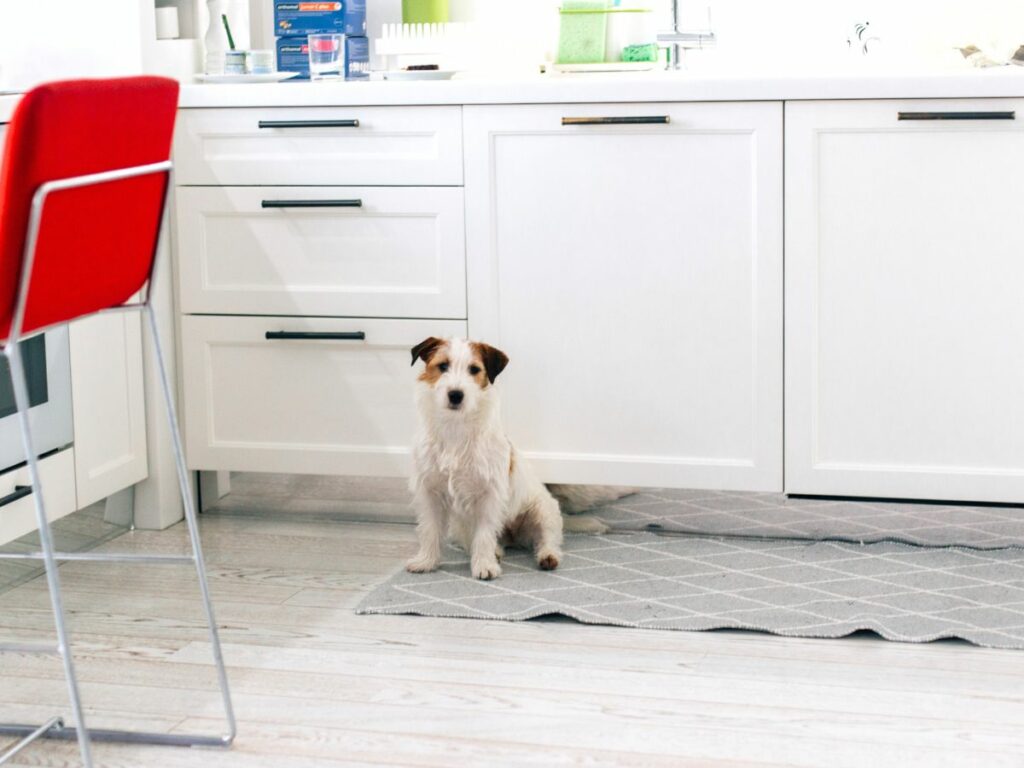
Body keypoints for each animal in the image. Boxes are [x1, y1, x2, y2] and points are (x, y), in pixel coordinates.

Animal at [405, 333, 565, 581]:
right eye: (443, 366)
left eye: (474, 369)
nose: (456, 395)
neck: (456, 429)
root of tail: (513, 536)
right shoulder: (431, 493)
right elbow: (430, 529)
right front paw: (426, 561)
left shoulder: (489, 495)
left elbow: (484, 534)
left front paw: (484, 566)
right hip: (460, 525)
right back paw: (496, 551)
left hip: (543, 512)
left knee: (546, 538)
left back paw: (547, 556)